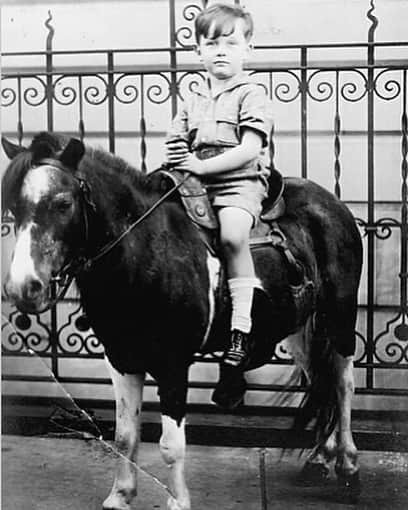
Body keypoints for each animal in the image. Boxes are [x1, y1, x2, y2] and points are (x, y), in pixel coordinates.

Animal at [0, 133, 364, 508]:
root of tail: (330, 204)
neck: (143, 251)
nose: (22, 287)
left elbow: (170, 445)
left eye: (62, 203)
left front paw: (177, 501)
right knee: (319, 379)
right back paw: (320, 459)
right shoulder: (120, 359)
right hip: (300, 329)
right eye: (14, 207)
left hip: (340, 316)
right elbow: (125, 435)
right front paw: (120, 495)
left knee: (343, 383)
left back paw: (349, 467)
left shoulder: (173, 365)